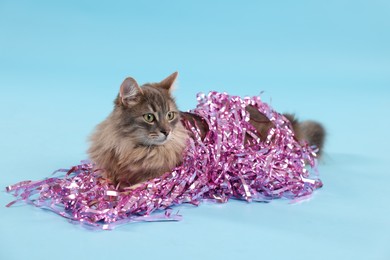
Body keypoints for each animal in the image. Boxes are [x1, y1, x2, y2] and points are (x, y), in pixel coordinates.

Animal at [89, 72, 326, 187]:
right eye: (149, 117)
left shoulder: (161, 176)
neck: (132, 148)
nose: (167, 132)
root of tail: (282, 124)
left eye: (170, 115)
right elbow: (105, 179)